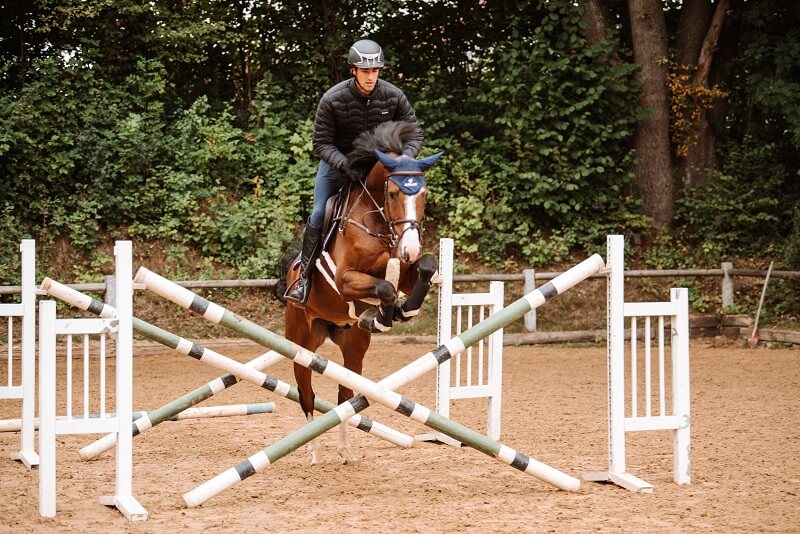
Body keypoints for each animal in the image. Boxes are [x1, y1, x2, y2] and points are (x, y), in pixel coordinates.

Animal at [282, 121, 444, 464]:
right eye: (393, 193)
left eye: (424, 194)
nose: (410, 248)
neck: (379, 224)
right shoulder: (345, 280)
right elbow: (383, 287)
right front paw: (384, 314)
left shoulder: (407, 270)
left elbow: (423, 268)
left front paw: (399, 311)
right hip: (301, 343)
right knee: (306, 394)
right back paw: (313, 452)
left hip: (354, 346)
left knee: (346, 394)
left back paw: (344, 450)